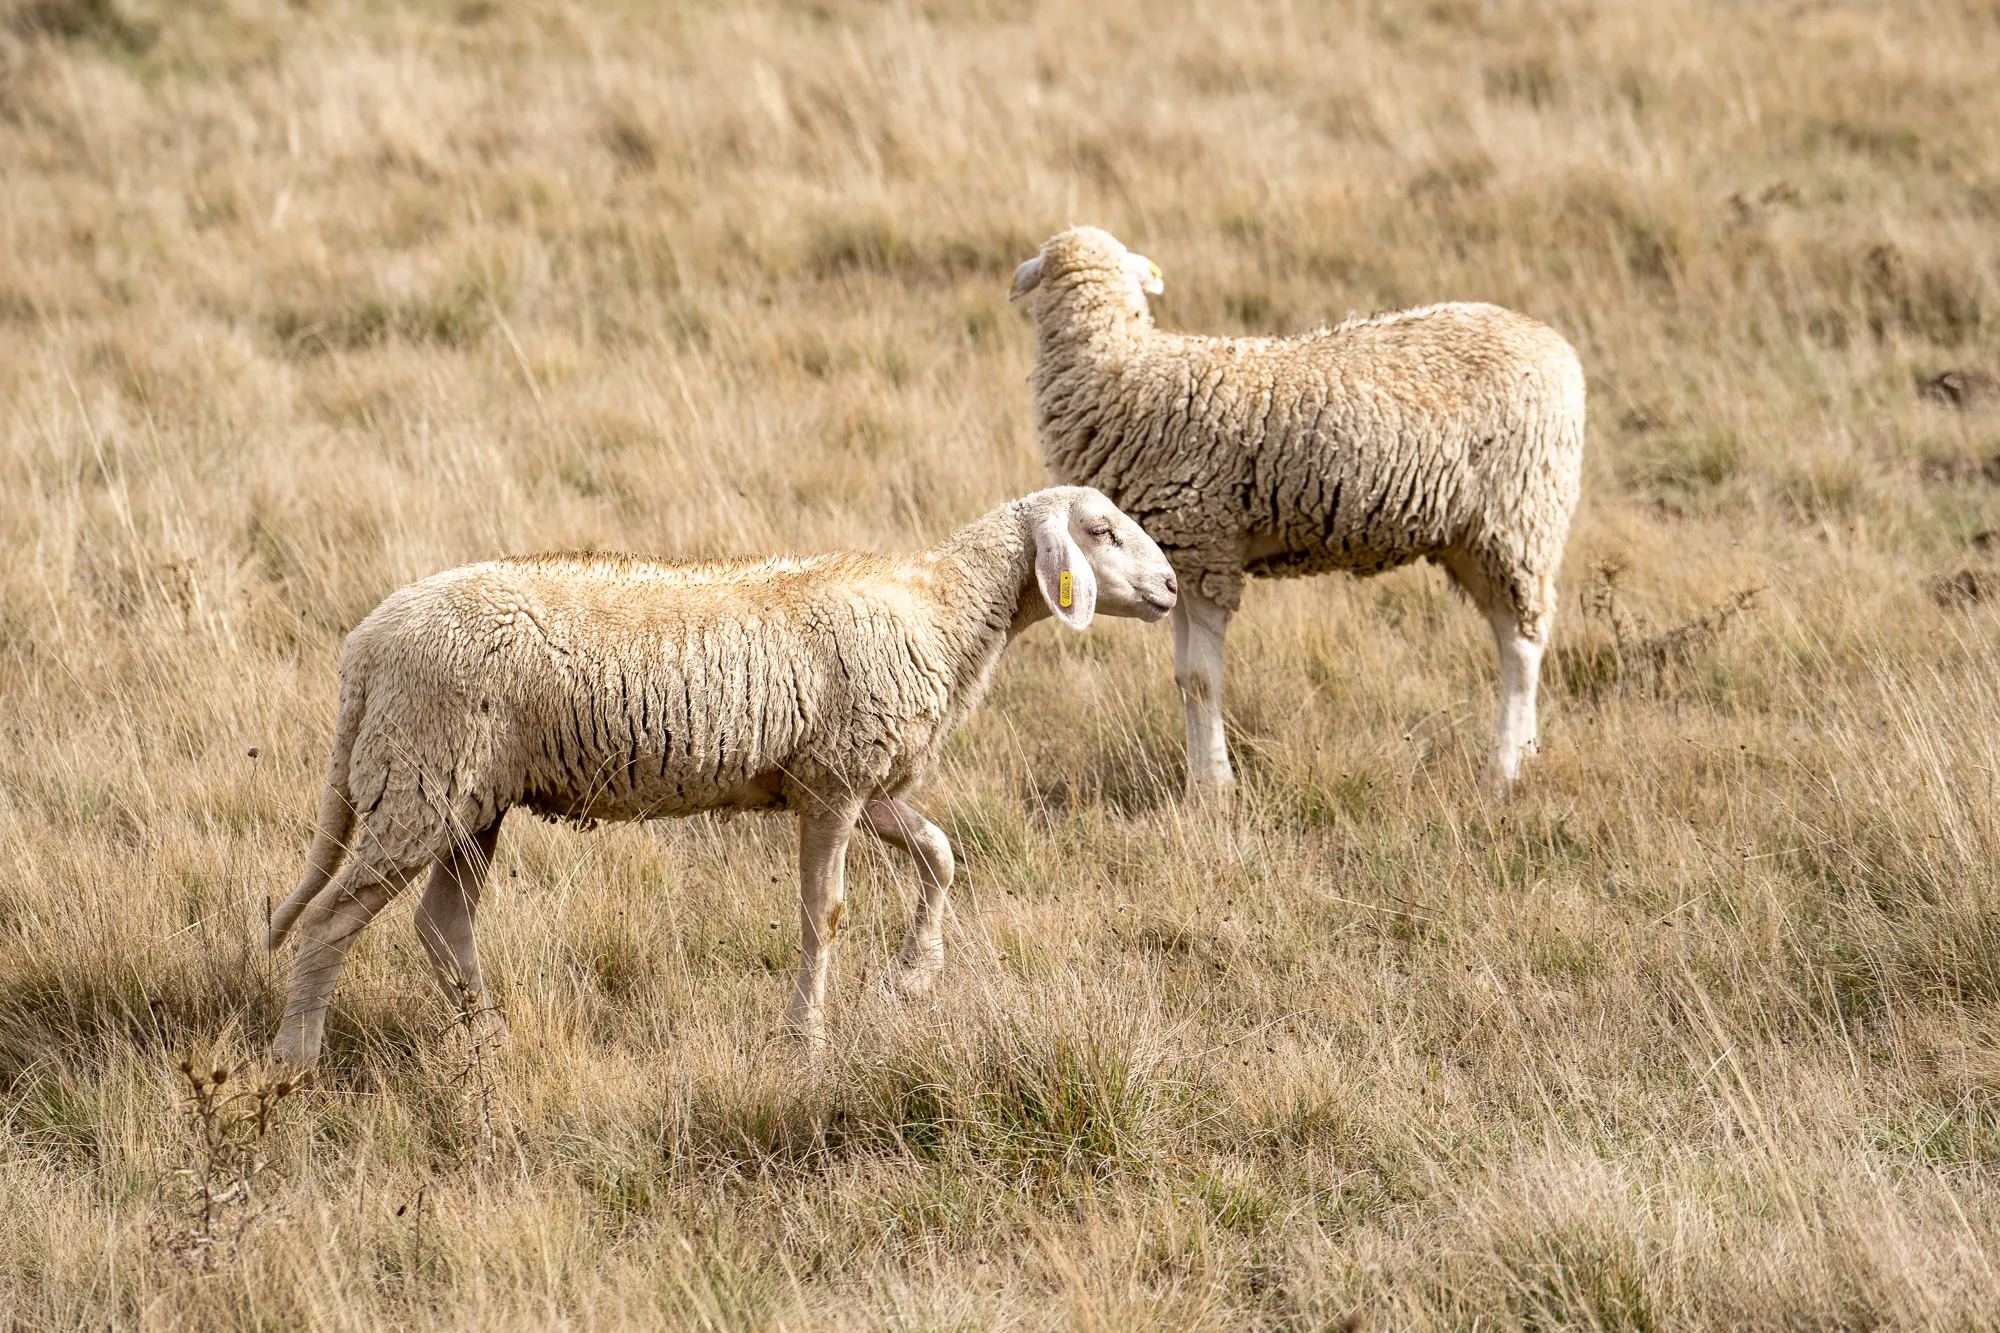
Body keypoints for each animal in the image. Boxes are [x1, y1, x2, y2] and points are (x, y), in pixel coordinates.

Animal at [264, 486, 1179, 1067]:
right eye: (1102, 530)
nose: (1172, 585)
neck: (943, 609)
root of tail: (365, 646)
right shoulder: (836, 782)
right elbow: (825, 915)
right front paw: (805, 1040)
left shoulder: (857, 780)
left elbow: (940, 852)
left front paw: (912, 974)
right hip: (417, 780)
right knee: (332, 921)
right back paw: (295, 1058)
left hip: (465, 796)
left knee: (442, 922)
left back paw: (487, 1040)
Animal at [1009, 226, 1586, 795]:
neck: (1124, 366)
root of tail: (1554, 346)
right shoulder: (1176, 561)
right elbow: (1183, 678)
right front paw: (1199, 781)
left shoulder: (1207, 545)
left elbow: (1201, 679)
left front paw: (1215, 787)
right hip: (1475, 535)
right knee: (1511, 636)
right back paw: (1526, 752)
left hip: (1520, 517)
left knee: (1523, 645)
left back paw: (1505, 766)